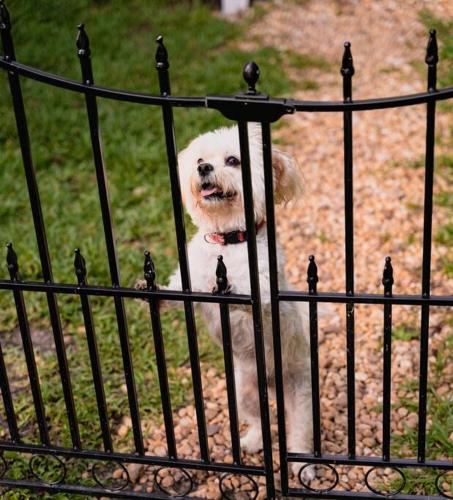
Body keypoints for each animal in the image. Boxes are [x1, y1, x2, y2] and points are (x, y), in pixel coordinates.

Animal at [140, 125, 310, 480]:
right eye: (200, 160)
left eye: (233, 160)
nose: (204, 168)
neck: (227, 241)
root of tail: (270, 384)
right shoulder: (188, 285)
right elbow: (177, 295)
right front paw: (154, 295)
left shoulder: (262, 288)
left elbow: (247, 296)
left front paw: (226, 289)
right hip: (244, 393)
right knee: (259, 420)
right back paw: (254, 441)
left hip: (299, 395)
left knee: (300, 435)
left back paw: (304, 467)